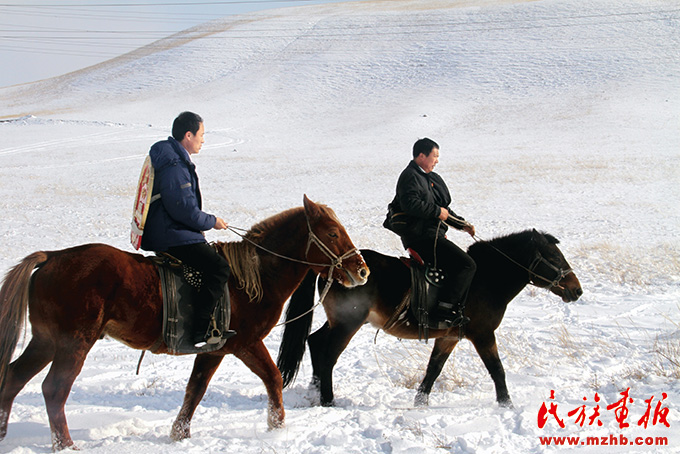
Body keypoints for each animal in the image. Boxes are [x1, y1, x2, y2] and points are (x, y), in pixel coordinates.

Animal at [0, 195, 370, 450]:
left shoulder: (219, 350)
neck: (252, 278)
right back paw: (65, 446)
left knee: (14, 377)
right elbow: (269, 379)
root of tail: (52, 257)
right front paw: (277, 429)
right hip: (74, 341)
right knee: (54, 389)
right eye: (333, 233)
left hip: (46, 340)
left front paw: (180, 434)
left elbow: (197, 390)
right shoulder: (240, 344)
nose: (362, 270)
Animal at [278, 231, 584, 408]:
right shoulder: (483, 334)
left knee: (314, 342)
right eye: (554, 256)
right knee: (327, 354)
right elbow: (497, 369)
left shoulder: (448, 337)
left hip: (340, 321)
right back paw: (328, 400)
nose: (577, 290)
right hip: (348, 324)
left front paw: (420, 402)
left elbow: (433, 370)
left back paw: (315, 389)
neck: (486, 279)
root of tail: (331, 267)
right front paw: (507, 405)